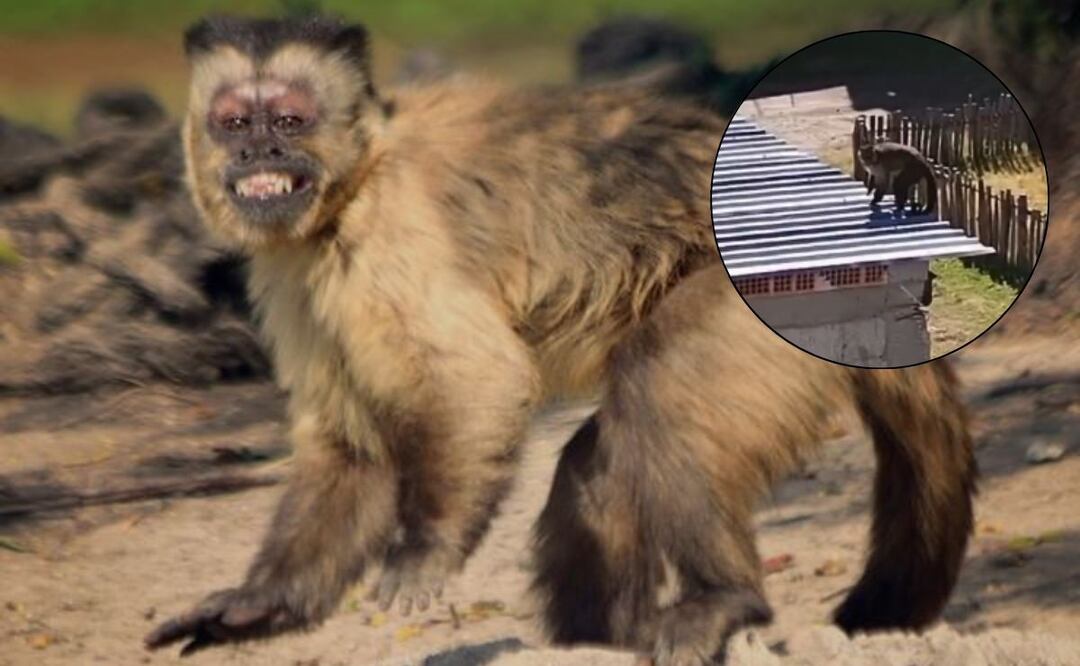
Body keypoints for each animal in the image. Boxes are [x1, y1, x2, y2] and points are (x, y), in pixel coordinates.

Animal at [145, 16, 977, 665]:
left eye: (287, 122)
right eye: (233, 121)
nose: (258, 156)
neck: (357, 178)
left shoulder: (391, 232)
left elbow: (478, 382)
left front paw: (424, 551)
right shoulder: (296, 271)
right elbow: (353, 445)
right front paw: (263, 603)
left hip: (789, 302)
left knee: (656, 396)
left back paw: (727, 599)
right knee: (597, 462)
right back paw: (602, 641)